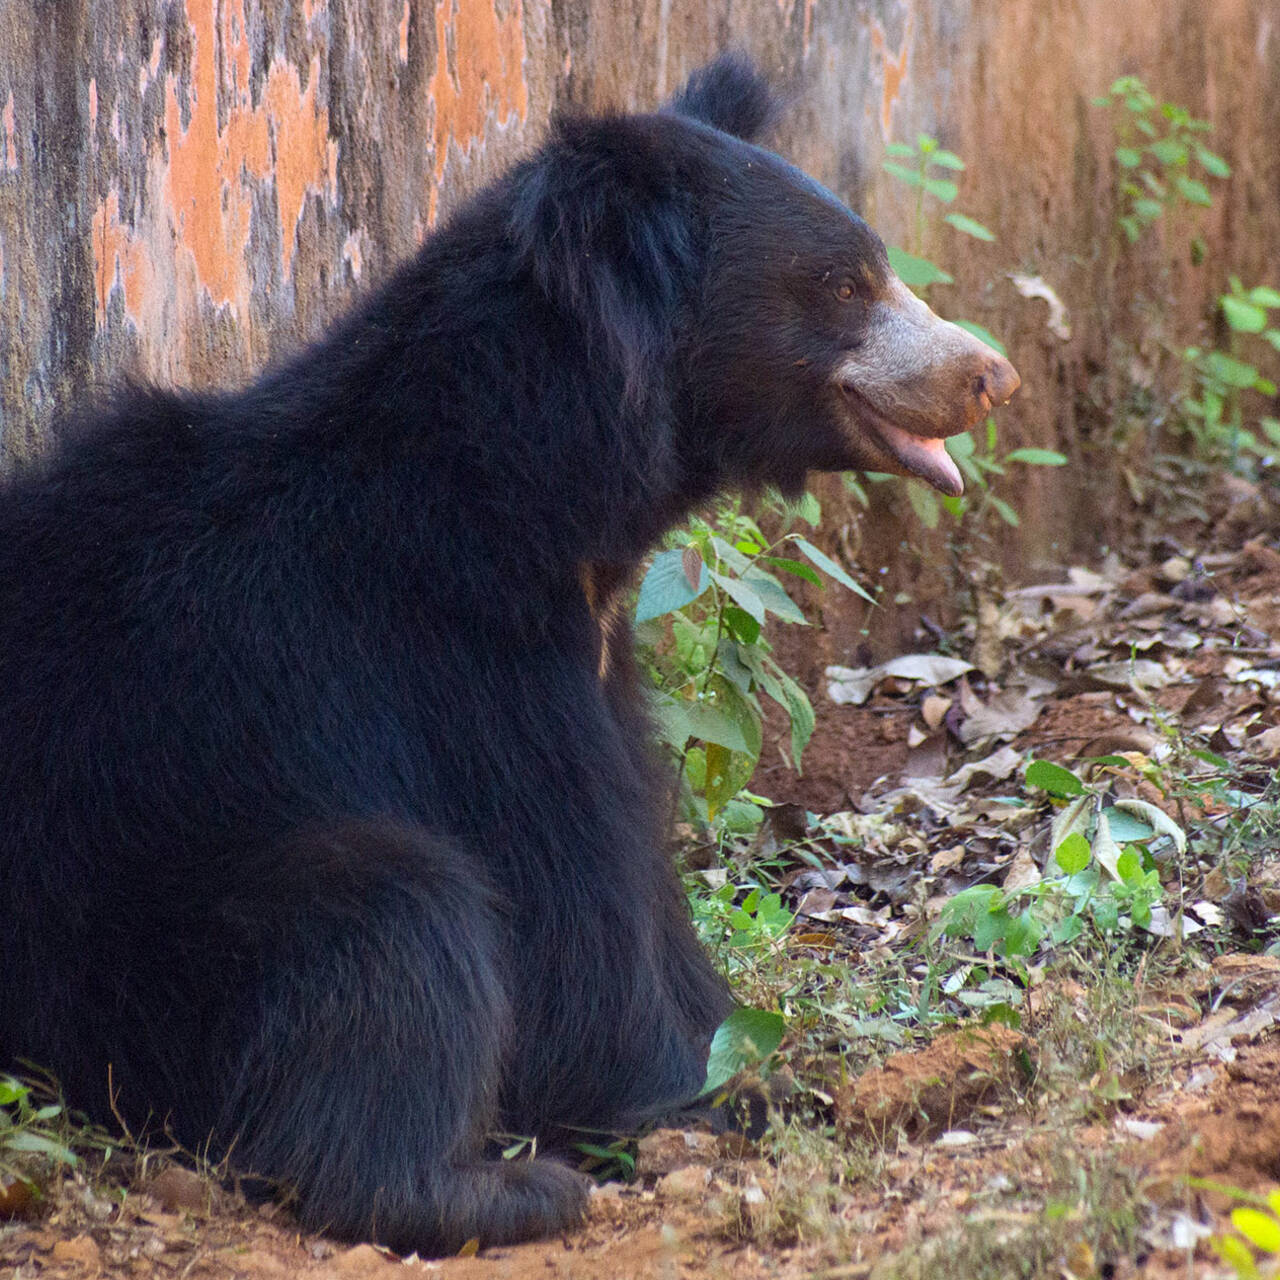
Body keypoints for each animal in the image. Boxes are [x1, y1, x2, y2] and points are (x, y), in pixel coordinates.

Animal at [2, 57, 1018, 1249]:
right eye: (843, 284)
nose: (989, 374)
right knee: (399, 915)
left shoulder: (593, 655)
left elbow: (642, 871)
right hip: (141, 938)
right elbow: (569, 895)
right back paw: (488, 1190)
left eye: (876, 269)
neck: (534, 490)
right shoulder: (456, 658)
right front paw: (714, 1096)